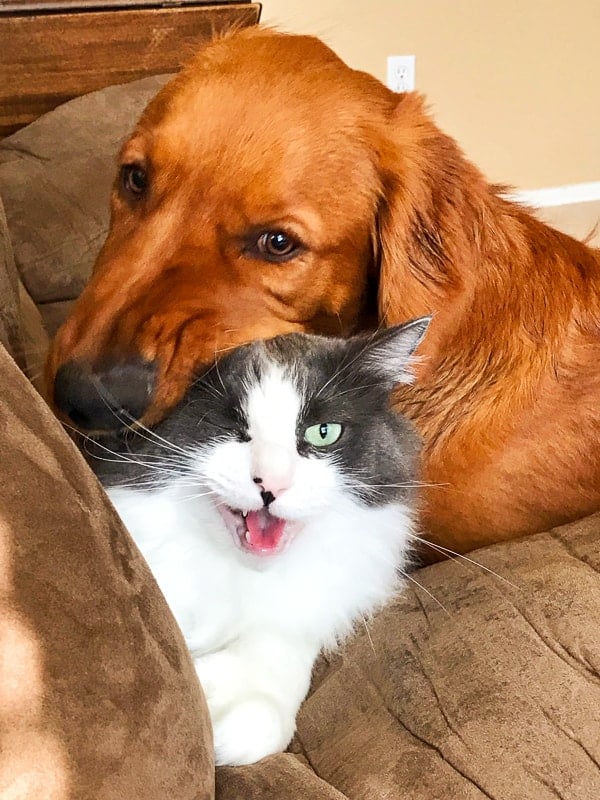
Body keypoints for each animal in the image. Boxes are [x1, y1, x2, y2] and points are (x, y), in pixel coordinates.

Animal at [90, 318, 426, 764]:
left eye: (323, 433)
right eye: (232, 429)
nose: (271, 485)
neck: (235, 577)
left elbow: (275, 671)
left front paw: (226, 717)